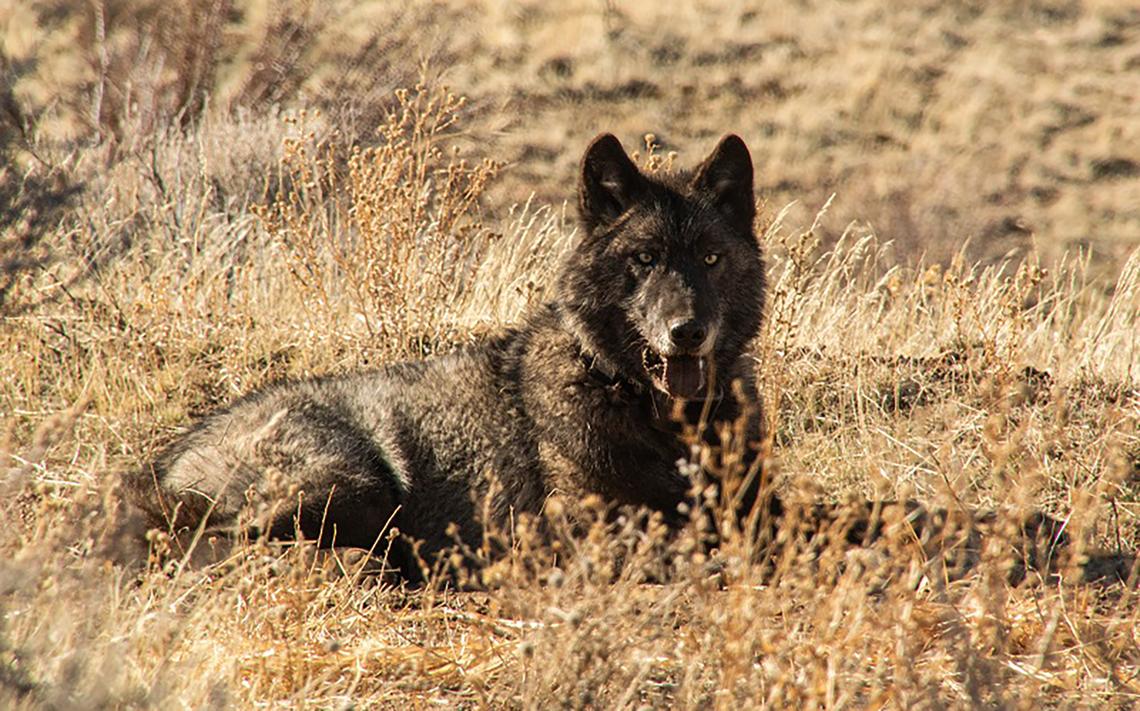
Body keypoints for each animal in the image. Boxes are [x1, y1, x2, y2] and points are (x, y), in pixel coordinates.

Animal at [131, 133, 770, 578]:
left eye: (710, 258)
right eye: (644, 259)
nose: (687, 331)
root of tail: (165, 461)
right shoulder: (585, 532)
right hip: (354, 483)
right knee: (225, 545)